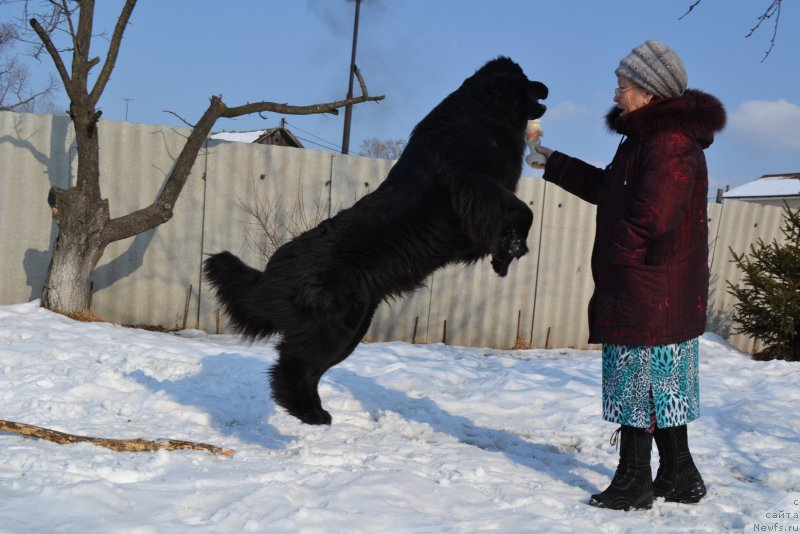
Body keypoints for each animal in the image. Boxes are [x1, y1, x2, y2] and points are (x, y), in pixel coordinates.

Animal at [203, 57, 548, 428]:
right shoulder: (476, 184)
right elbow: (524, 211)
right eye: (524, 79)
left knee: (308, 370)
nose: (546, 86)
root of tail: (269, 272)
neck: (483, 112)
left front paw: (503, 256)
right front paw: (511, 250)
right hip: (334, 328)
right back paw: (305, 413)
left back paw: (316, 413)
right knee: (293, 367)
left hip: (352, 327)